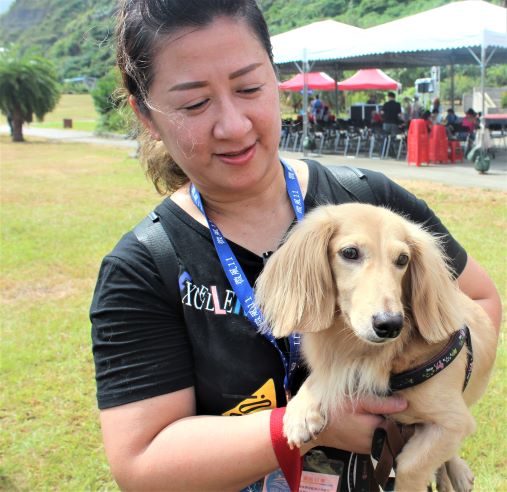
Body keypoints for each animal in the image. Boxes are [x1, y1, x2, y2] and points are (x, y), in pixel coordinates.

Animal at [256, 202, 498, 490]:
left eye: (403, 259)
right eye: (350, 253)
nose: (390, 325)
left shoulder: (453, 421)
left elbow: (410, 466)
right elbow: (326, 375)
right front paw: (300, 411)